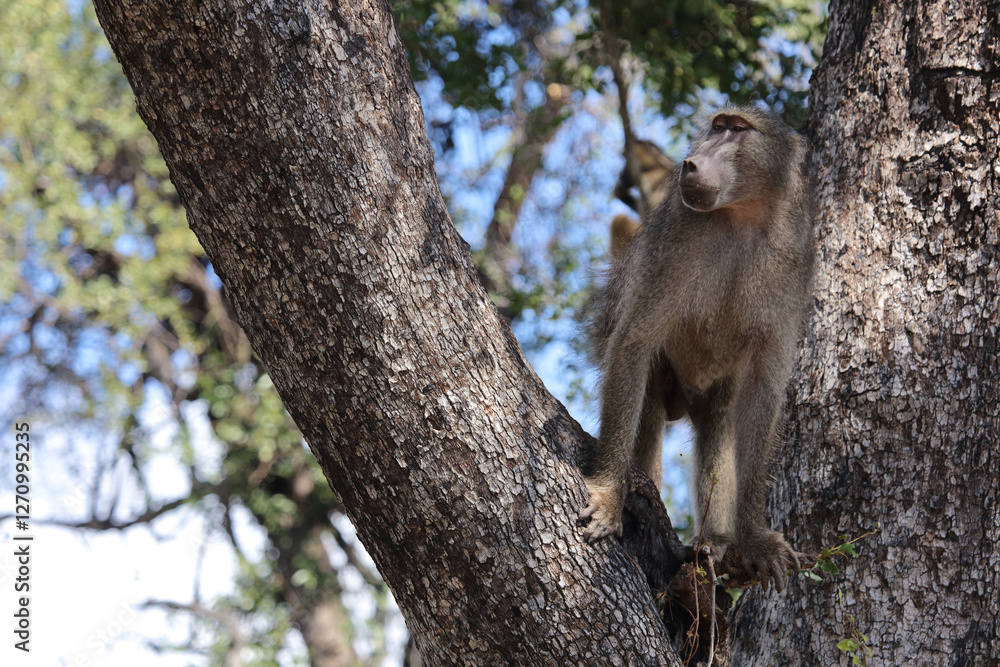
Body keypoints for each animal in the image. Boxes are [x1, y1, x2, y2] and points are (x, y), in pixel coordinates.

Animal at [581, 105, 813, 593]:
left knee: (717, 424)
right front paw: (609, 494)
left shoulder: (795, 260)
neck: (742, 218)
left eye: (737, 130)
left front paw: (753, 538)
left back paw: (715, 542)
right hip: (660, 382)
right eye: (717, 126)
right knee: (647, 411)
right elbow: (634, 342)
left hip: (712, 389)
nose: (690, 163)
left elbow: (763, 392)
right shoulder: (674, 237)